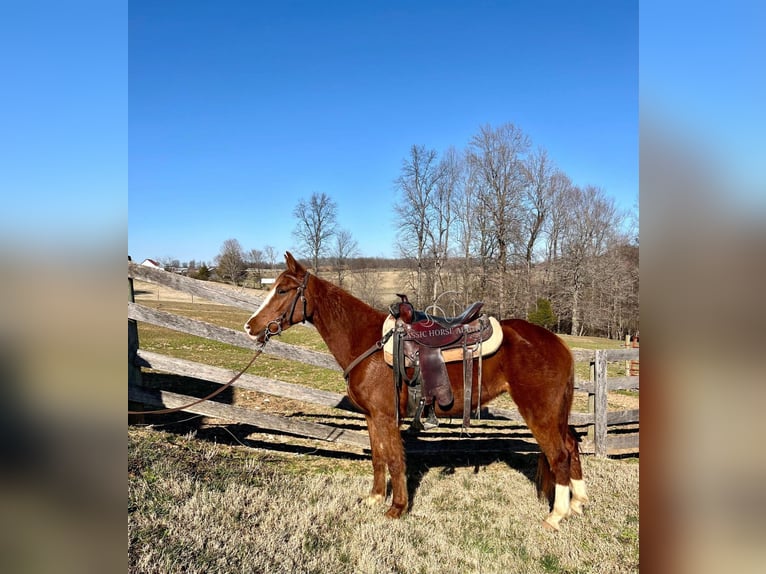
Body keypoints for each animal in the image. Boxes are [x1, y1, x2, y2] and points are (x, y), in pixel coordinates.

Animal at [246, 254, 588, 532]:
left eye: (282, 290)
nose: (250, 327)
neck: (367, 342)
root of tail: (557, 343)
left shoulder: (387, 416)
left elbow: (395, 459)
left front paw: (397, 508)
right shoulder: (373, 417)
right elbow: (378, 457)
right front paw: (374, 498)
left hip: (539, 411)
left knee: (559, 454)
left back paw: (555, 515)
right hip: (555, 411)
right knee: (571, 445)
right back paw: (577, 502)